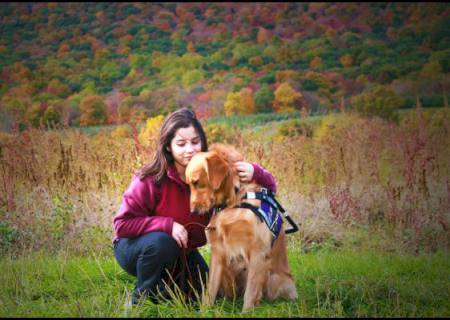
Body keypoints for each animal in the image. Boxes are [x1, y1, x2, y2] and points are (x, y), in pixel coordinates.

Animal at [185, 144, 298, 312]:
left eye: (196, 182)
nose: (193, 211)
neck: (233, 202)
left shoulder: (258, 251)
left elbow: (250, 291)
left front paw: (246, 312)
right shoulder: (218, 252)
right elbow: (210, 289)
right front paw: (204, 311)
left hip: (275, 277)